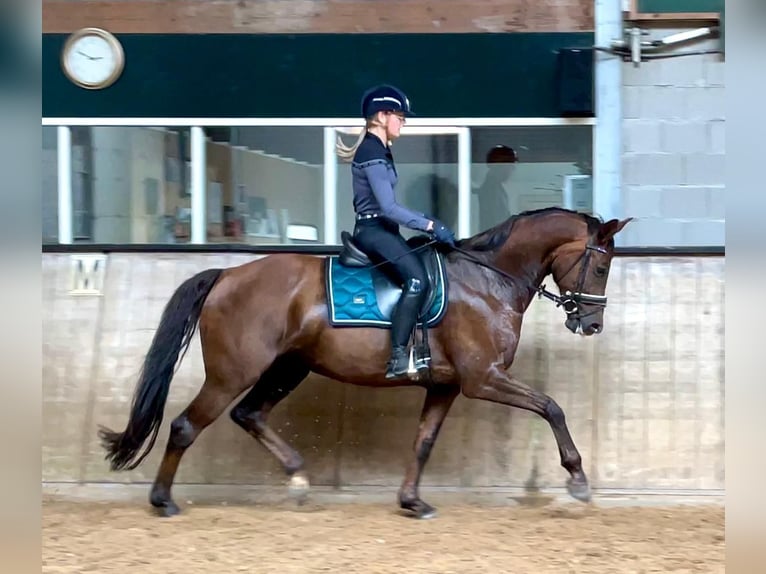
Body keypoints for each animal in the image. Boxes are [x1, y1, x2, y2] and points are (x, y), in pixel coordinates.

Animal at [99, 208, 632, 520]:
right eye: (602, 265)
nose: (591, 324)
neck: (487, 280)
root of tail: (228, 274)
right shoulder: (484, 379)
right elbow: (552, 407)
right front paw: (578, 481)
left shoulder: (446, 386)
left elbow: (423, 442)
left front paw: (412, 502)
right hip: (235, 372)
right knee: (187, 425)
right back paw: (164, 502)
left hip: (288, 367)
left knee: (248, 414)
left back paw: (298, 479)